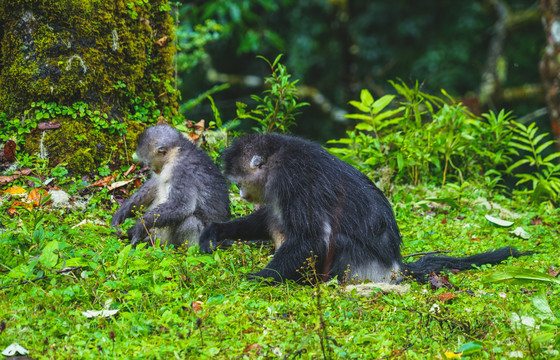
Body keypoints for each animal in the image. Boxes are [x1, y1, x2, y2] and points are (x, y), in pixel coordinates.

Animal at [199, 133, 528, 284]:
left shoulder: (293, 178)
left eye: (239, 182)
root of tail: (395, 265)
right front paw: (218, 230)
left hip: (360, 266)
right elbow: (270, 217)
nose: (242, 193)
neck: (277, 156)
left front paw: (259, 278)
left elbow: (311, 238)